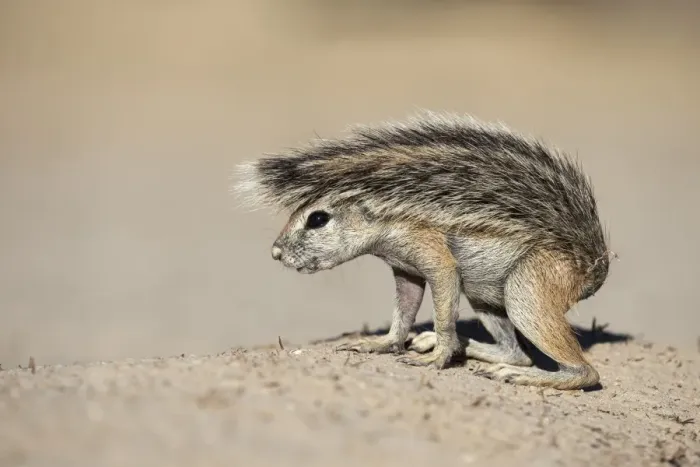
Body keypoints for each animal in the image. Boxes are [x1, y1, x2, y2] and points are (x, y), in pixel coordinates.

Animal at [232, 111, 613, 390]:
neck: (388, 217)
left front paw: (437, 356)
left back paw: (519, 374)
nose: (276, 252)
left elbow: (443, 308)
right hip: (484, 295)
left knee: (583, 372)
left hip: (527, 292)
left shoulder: (432, 254)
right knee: (515, 352)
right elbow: (404, 312)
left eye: (318, 218)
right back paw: (459, 346)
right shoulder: (406, 271)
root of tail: (591, 264)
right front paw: (382, 343)